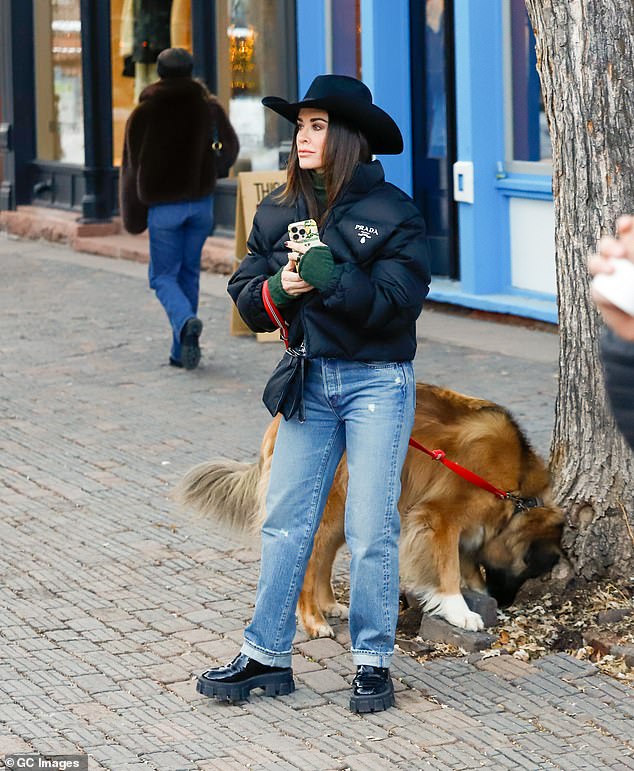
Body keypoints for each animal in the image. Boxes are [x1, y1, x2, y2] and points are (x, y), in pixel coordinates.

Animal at [175, 384, 560, 632]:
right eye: (528, 568)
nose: (505, 603)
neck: (515, 486)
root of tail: (278, 421)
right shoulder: (439, 518)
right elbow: (448, 568)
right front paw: (459, 611)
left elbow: (465, 562)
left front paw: (474, 594)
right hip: (330, 508)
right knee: (309, 560)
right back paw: (313, 620)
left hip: (350, 510)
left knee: (323, 559)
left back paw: (329, 605)